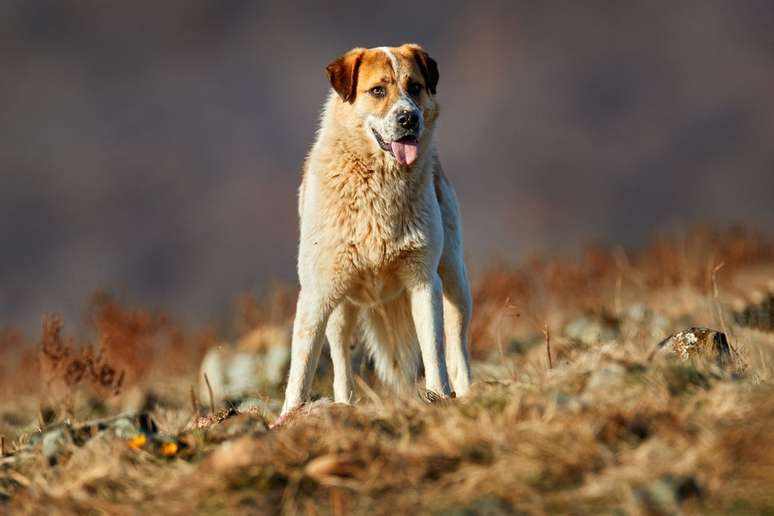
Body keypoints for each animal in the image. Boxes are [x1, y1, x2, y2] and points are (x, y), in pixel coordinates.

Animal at [280, 44, 472, 416]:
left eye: (415, 87)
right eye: (378, 91)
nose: (408, 118)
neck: (378, 185)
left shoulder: (424, 282)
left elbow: (434, 351)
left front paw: (438, 397)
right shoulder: (316, 294)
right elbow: (302, 367)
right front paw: (288, 417)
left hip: (456, 281)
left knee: (457, 346)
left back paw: (468, 394)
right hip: (341, 310)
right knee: (341, 360)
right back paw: (344, 403)